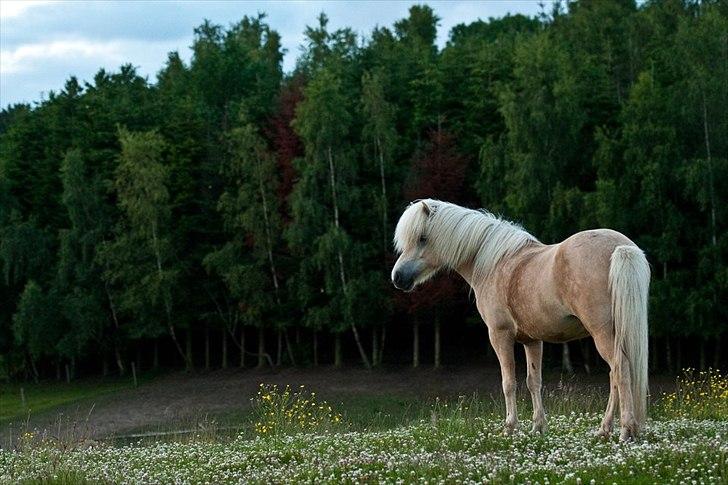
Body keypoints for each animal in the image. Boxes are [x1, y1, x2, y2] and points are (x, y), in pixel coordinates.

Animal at [392, 199, 648, 440]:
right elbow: (533, 381)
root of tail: (621, 247)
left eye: (422, 238)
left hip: (602, 333)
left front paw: (510, 427)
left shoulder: (499, 335)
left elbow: (509, 382)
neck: (494, 262)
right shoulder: (532, 340)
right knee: (615, 374)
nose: (398, 277)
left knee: (620, 370)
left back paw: (626, 430)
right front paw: (538, 427)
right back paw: (605, 429)